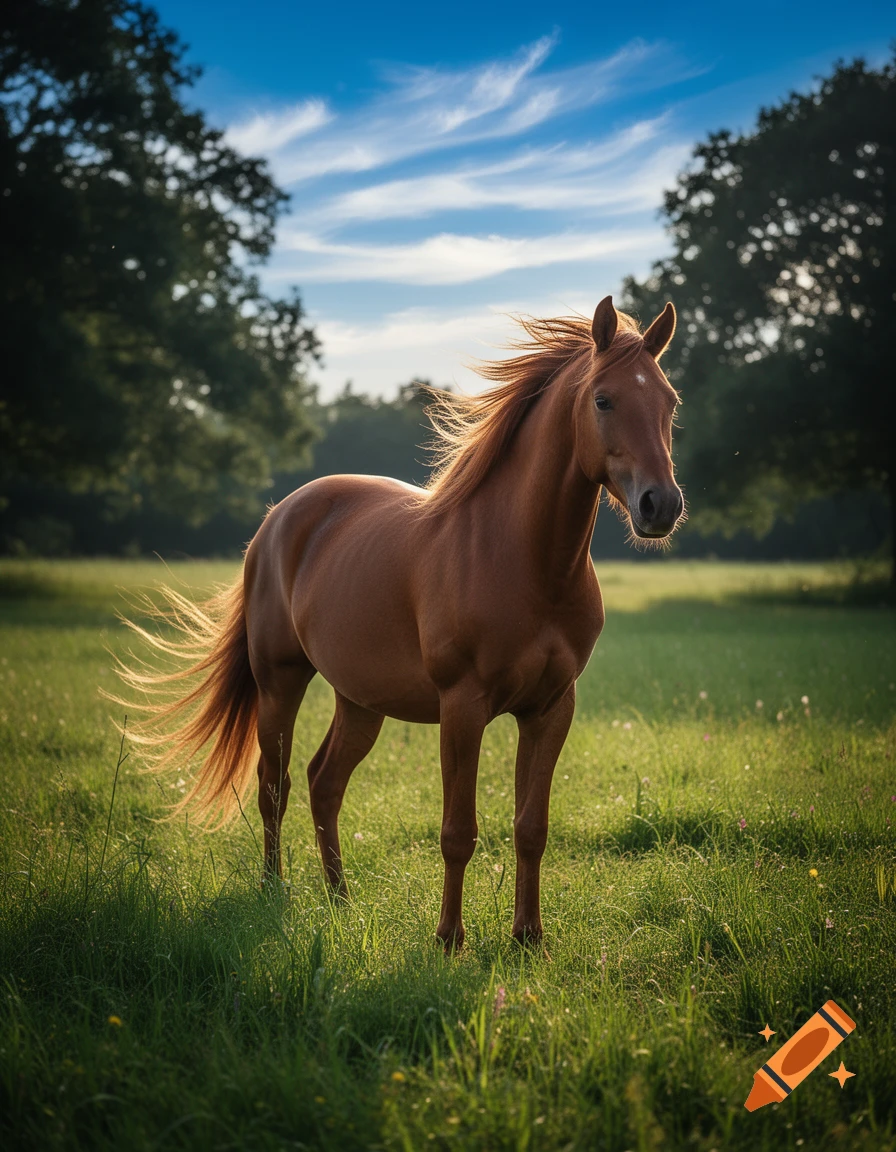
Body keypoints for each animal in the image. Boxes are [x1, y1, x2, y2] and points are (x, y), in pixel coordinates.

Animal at [118, 296, 683, 949]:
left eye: (669, 401)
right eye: (603, 399)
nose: (660, 505)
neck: (523, 559)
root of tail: (278, 517)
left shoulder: (551, 708)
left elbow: (531, 826)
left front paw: (528, 937)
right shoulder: (462, 707)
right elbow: (457, 831)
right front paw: (449, 939)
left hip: (360, 701)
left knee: (323, 783)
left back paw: (340, 899)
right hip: (279, 682)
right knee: (273, 785)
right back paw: (273, 890)